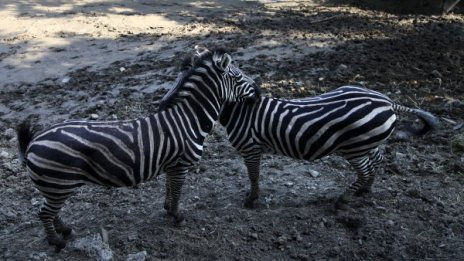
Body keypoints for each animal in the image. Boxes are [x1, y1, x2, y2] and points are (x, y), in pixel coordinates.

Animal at [15, 46, 260, 250]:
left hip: (54, 186)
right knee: (44, 213)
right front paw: (178, 217)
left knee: (51, 212)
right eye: (239, 76)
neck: (188, 119)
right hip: (58, 183)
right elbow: (178, 192)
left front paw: (168, 209)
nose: (258, 91)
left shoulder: (171, 165)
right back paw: (56, 242)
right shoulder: (180, 165)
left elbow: (169, 189)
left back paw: (64, 230)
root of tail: (34, 141)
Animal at [219, 86, 440, 208]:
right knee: (376, 161)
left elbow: (253, 176)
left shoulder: (250, 147)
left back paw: (343, 200)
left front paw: (251, 200)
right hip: (368, 143)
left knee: (365, 170)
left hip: (355, 148)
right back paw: (365, 190)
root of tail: (388, 103)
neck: (239, 111)